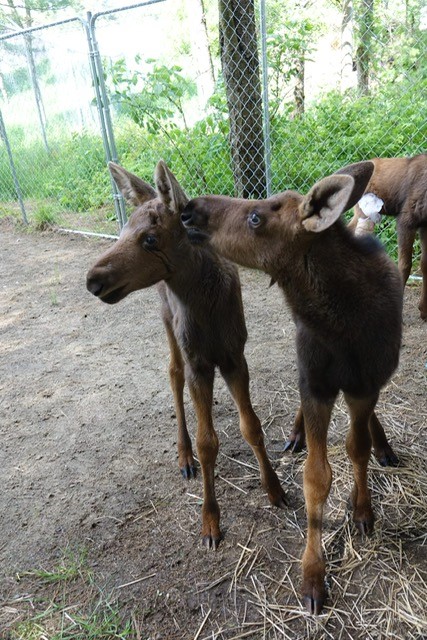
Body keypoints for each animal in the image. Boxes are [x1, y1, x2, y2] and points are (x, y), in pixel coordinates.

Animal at [86, 160, 288, 552]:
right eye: (121, 230)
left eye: (150, 239)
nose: (93, 279)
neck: (207, 305)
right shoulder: (199, 363)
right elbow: (207, 441)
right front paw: (210, 521)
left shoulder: (235, 356)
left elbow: (252, 426)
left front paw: (275, 489)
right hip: (168, 323)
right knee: (172, 372)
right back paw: (184, 455)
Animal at [182, 161, 402, 616]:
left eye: (256, 218)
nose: (189, 209)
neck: (342, 328)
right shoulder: (315, 384)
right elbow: (316, 478)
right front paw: (313, 575)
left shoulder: (363, 387)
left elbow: (357, 451)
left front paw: (363, 509)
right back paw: (298, 434)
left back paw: (384, 447)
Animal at [350, 152, 426, 318]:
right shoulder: (406, 221)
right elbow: (405, 265)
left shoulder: (425, 226)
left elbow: (424, 264)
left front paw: (423, 310)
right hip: (365, 211)